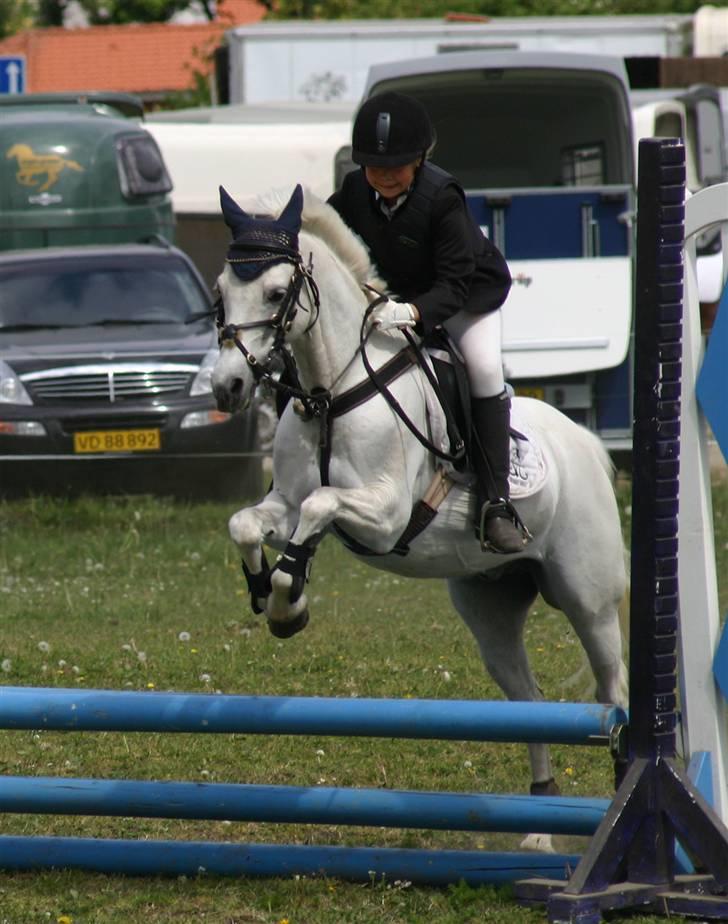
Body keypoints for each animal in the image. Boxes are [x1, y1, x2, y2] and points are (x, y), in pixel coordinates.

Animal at [211, 183, 628, 817]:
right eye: (220, 292)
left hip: (589, 600)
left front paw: (288, 600)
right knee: (526, 699)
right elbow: (247, 523)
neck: (331, 390)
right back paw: (537, 818)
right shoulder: (282, 500)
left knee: (612, 688)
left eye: (277, 293)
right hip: (491, 604)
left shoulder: (386, 515)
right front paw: (271, 591)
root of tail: (584, 443)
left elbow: (320, 506)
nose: (227, 387)